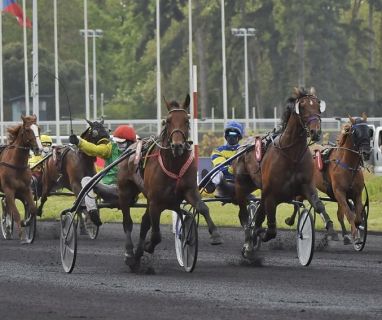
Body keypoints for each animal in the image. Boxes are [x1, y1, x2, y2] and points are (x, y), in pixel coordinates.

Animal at [118, 94, 222, 268]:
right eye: (167, 120)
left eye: (186, 120)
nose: (177, 145)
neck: (173, 165)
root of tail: (131, 148)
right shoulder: (156, 202)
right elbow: (156, 235)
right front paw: (148, 246)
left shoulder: (189, 191)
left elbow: (202, 207)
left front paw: (215, 234)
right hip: (125, 191)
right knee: (127, 222)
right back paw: (130, 254)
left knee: (144, 222)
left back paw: (137, 255)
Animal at [233, 87, 338, 258]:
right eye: (302, 107)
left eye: (317, 105)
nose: (315, 131)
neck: (292, 155)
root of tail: (243, 145)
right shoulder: (270, 194)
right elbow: (271, 228)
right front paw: (259, 235)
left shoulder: (306, 185)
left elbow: (318, 205)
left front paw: (331, 230)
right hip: (242, 185)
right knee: (244, 214)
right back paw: (248, 243)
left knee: (258, 214)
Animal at [286, 114, 372, 244]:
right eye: (356, 133)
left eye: (369, 131)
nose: (366, 153)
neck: (349, 167)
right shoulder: (339, 192)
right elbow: (349, 214)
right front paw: (354, 235)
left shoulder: (356, 194)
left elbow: (353, 214)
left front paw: (352, 232)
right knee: (298, 202)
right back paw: (291, 221)